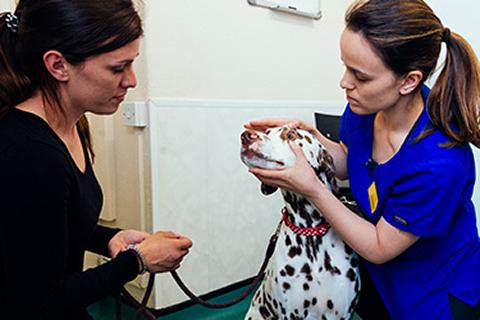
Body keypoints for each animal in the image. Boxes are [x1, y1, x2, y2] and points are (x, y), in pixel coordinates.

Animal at [240, 125, 360, 320]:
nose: (246, 135)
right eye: (267, 131)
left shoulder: (341, 312)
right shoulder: (291, 313)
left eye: (291, 135)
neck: (311, 234)